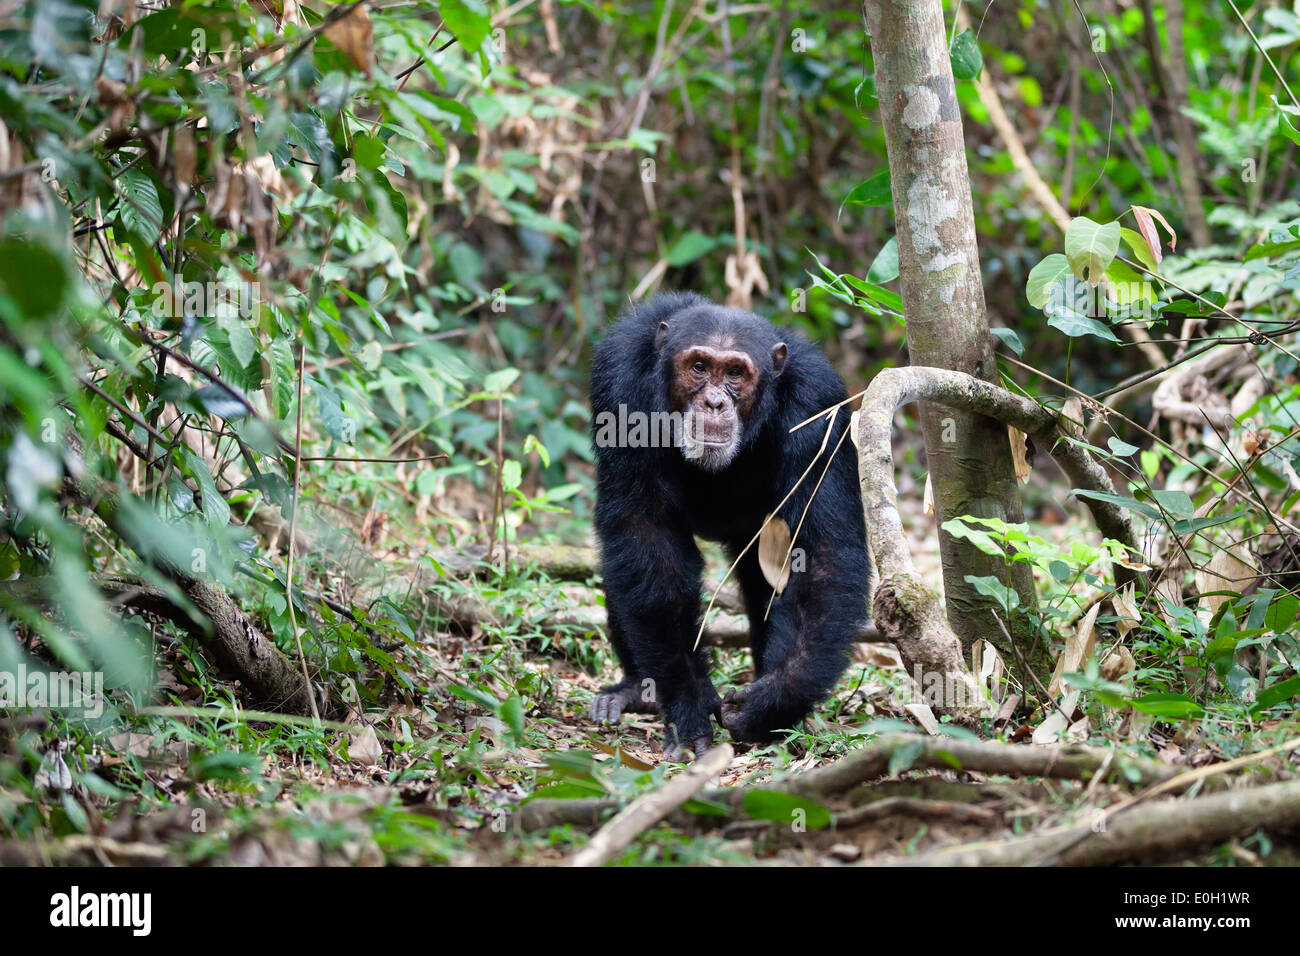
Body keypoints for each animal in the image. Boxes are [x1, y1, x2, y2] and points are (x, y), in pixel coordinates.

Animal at [592, 291, 873, 764]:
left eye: (736, 373)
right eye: (699, 367)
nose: (714, 403)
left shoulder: (819, 404)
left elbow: (821, 551)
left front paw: (772, 701)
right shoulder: (620, 381)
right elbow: (646, 537)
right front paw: (688, 706)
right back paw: (635, 690)